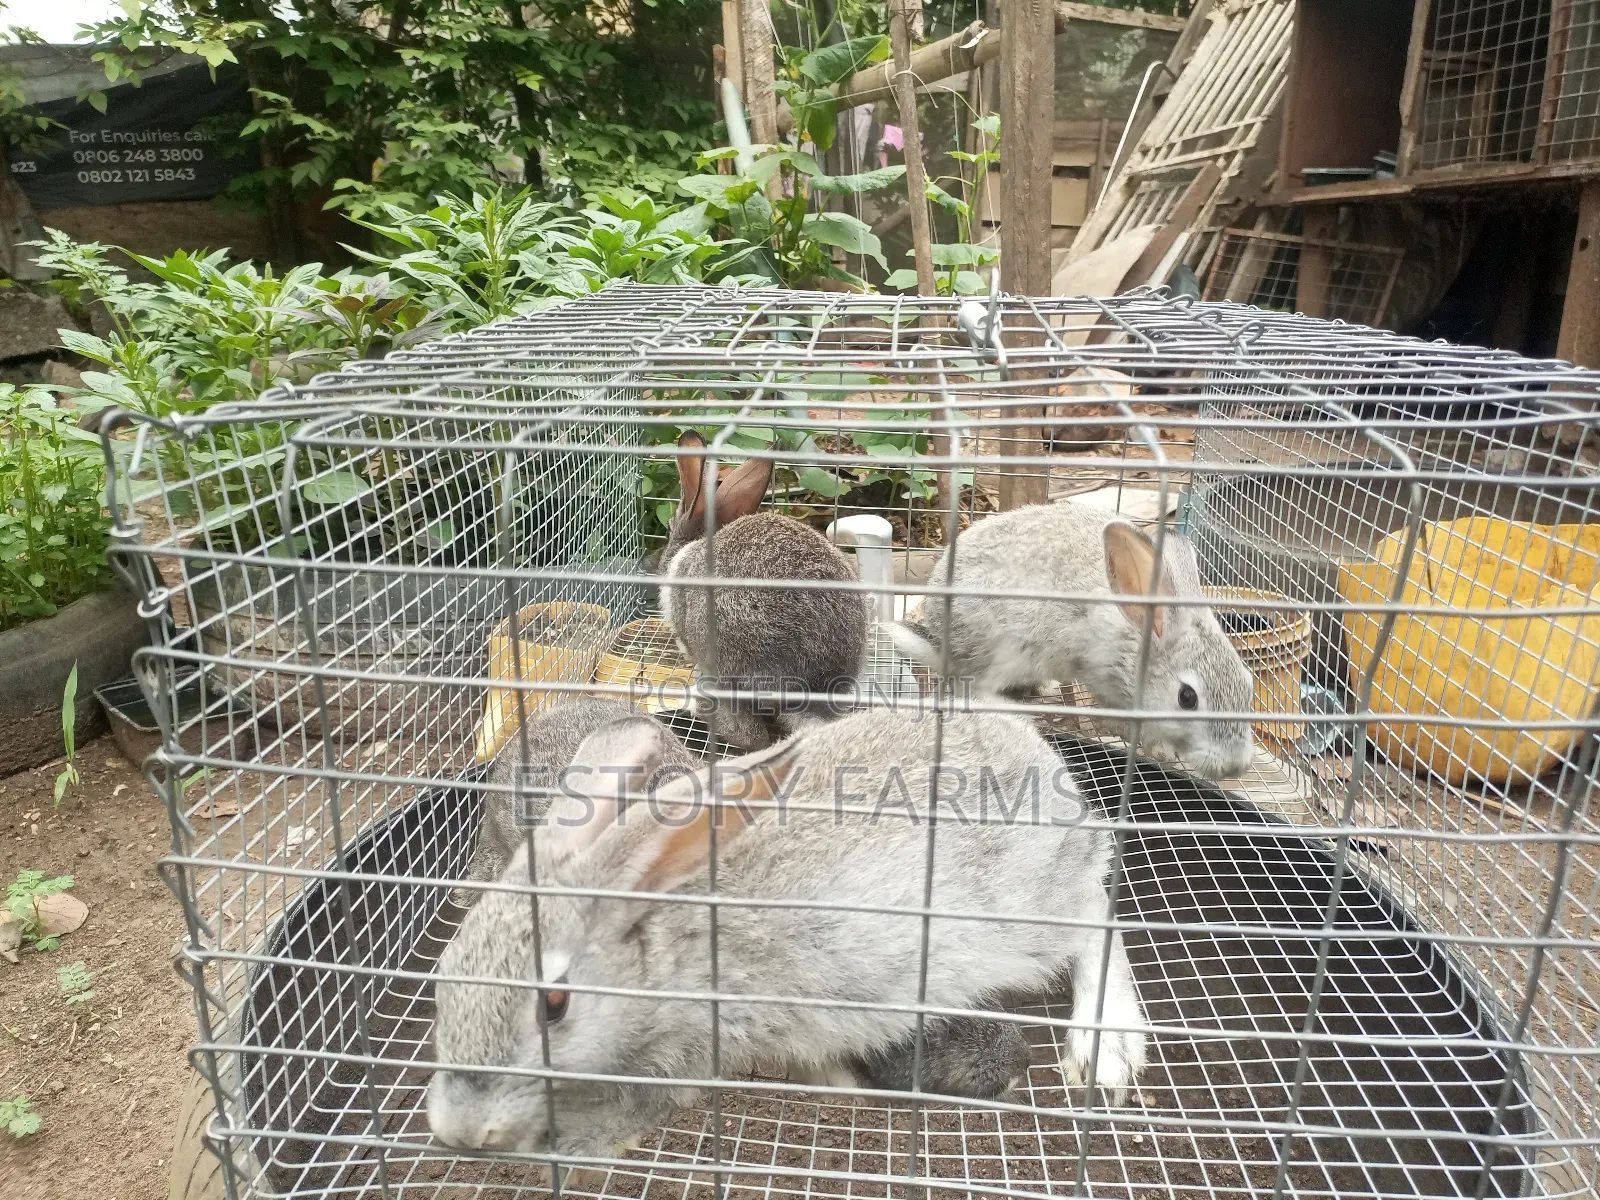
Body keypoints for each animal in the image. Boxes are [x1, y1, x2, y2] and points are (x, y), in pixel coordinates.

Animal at [888, 500, 1255, 780]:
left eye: (1249, 685)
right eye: (1186, 698)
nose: (1235, 767)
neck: (1137, 637)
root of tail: (941, 643)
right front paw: (1158, 747)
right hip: (1008, 648)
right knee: (975, 689)